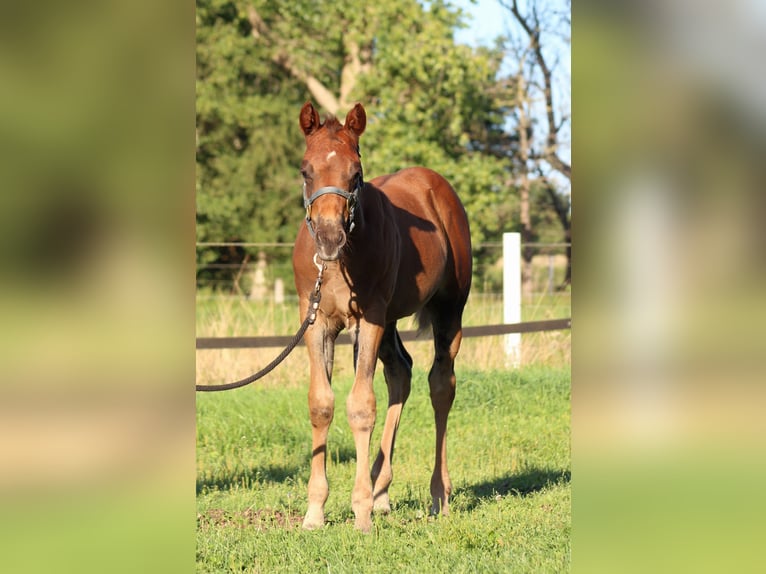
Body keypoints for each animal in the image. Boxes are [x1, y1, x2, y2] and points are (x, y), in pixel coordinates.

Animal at [292, 102, 472, 532]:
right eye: (306, 170)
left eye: (356, 173)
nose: (329, 238)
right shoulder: (315, 320)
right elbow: (321, 403)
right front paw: (315, 510)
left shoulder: (369, 317)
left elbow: (360, 406)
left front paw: (360, 511)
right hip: (391, 320)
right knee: (400, 373)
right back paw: (382, 490)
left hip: (448, 310)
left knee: (441, 385)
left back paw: (438, 494)